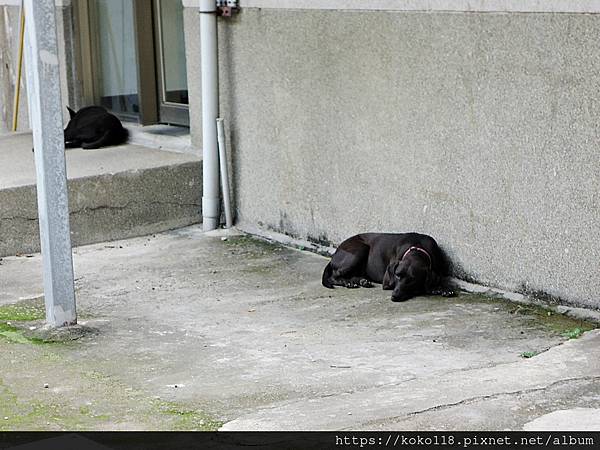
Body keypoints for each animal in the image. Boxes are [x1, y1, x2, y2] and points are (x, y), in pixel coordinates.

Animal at [324, 232, 454, 302]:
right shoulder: (387, 282)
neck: (418, 247)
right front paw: (435, 289)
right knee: (334, 276)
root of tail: (336, 252)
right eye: (397, 275)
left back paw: (361, 281)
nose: (394, 296)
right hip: (359, 251)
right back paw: (348, 282)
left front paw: (443, 288)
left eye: (412, 279)